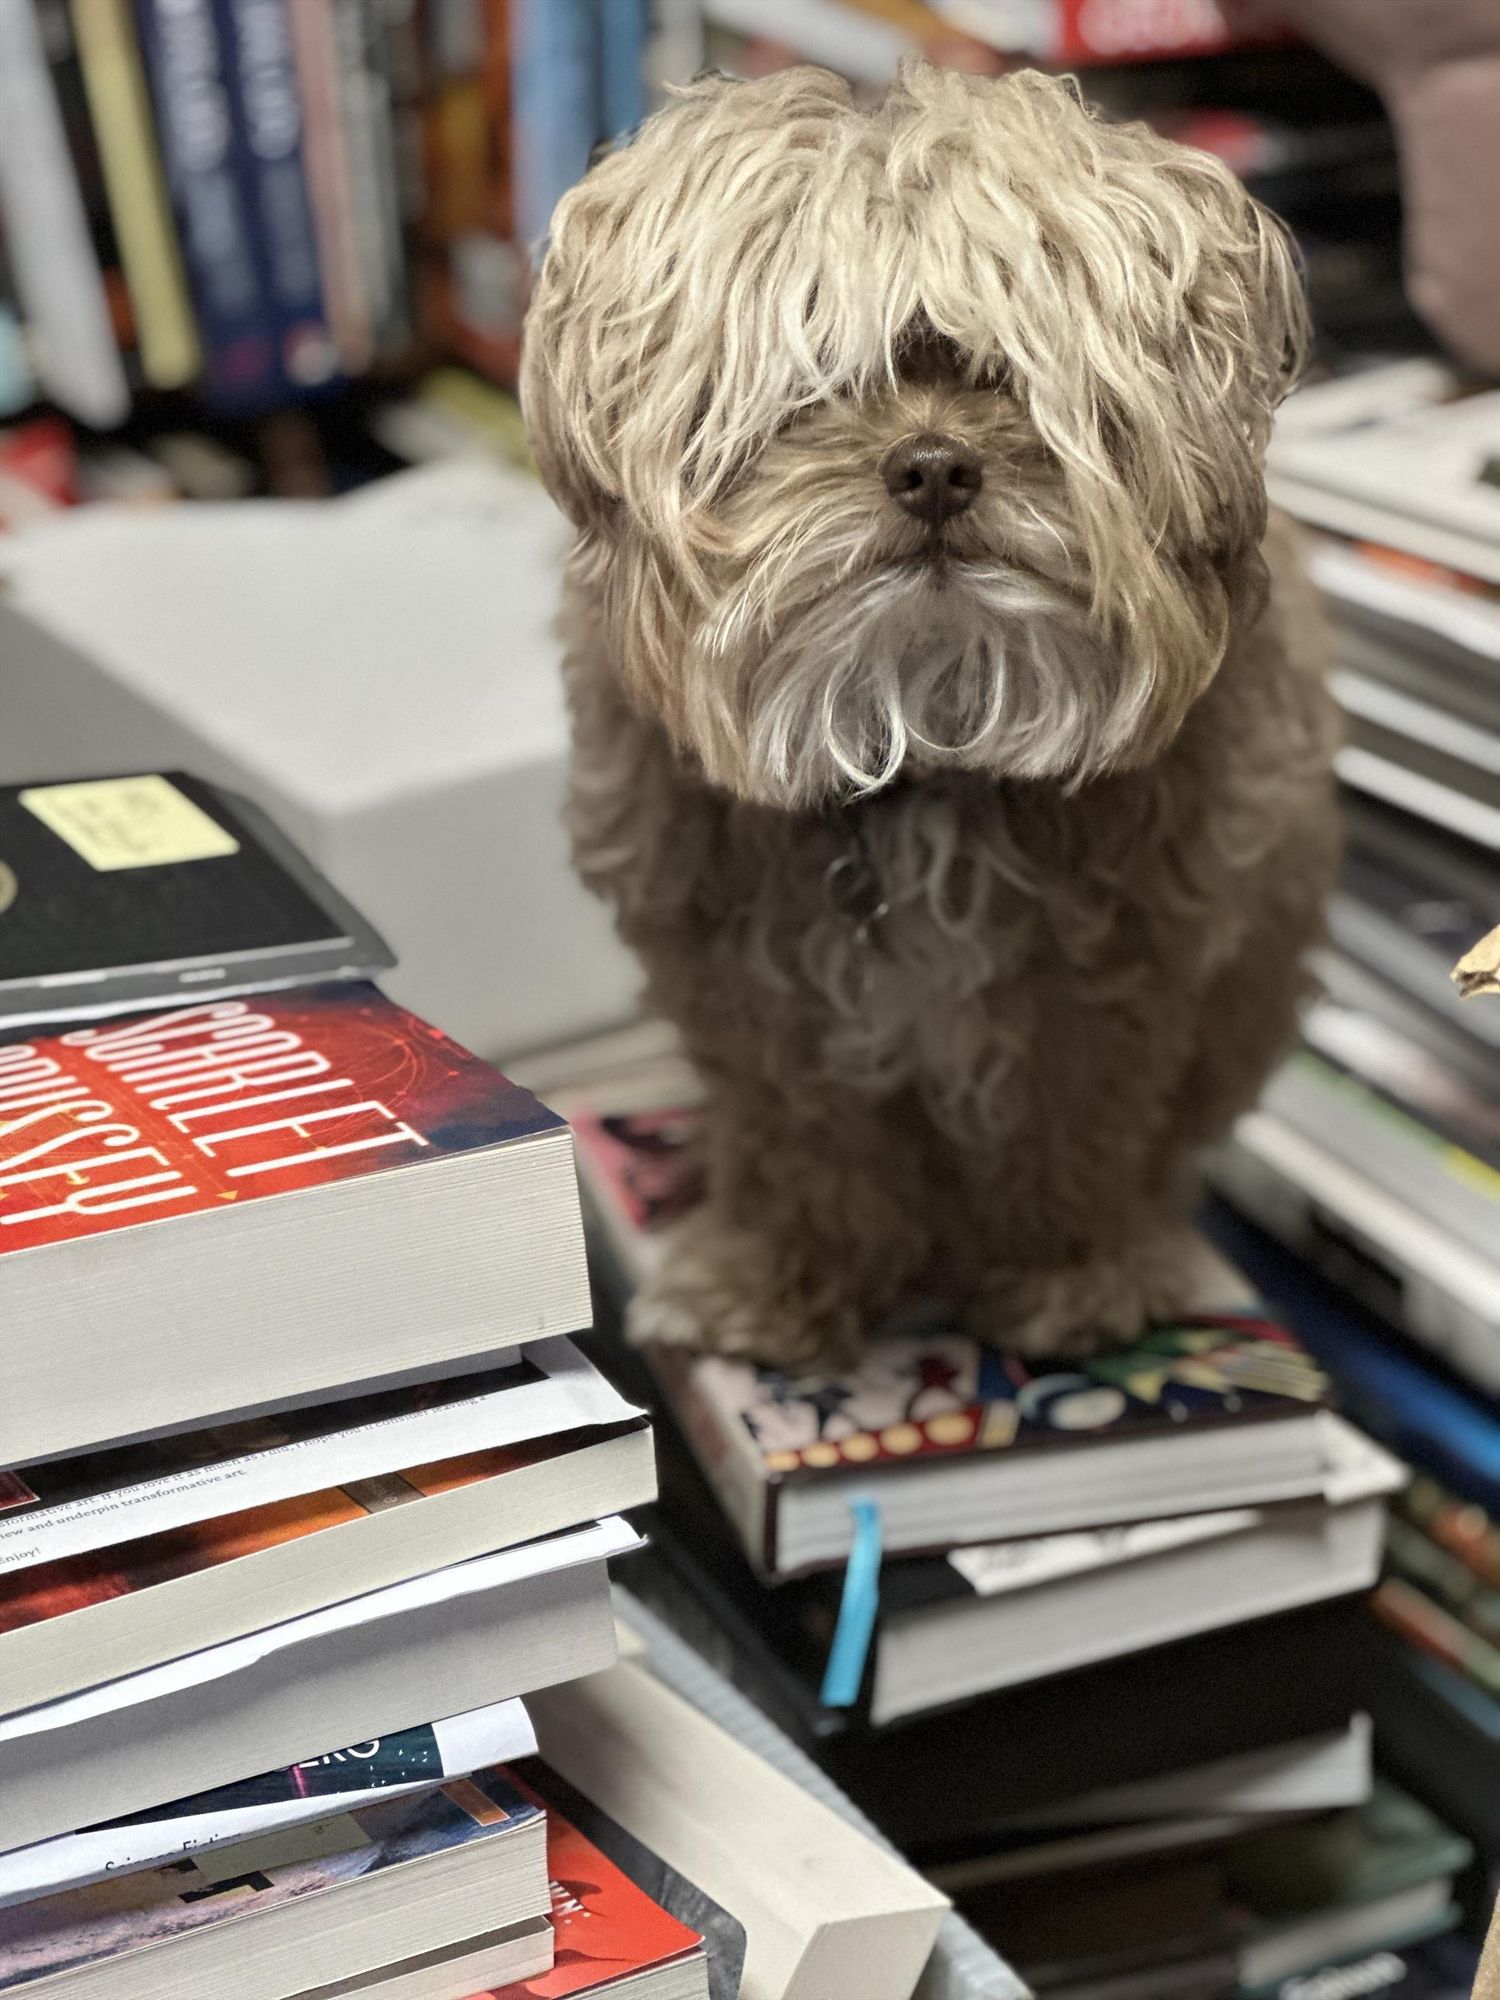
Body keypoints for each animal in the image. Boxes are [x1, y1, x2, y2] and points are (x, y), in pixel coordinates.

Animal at [520, 66, 1336, 1376]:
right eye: (815, 385)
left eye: (1008, 375)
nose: (937, 466)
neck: (930, 733)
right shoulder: (758, 998)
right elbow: (804, 1147)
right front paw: (778, 1282)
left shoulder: (1119, 980)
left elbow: (1075, 1135)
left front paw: (1067, 1279)